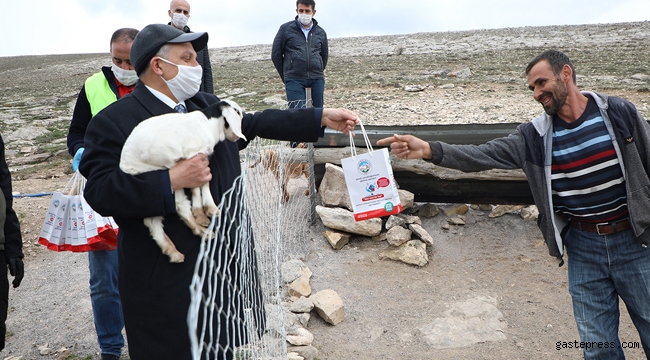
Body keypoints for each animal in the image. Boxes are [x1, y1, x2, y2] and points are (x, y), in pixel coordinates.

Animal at [119, 100, 246, 262]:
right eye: (238, 112)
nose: (236, 138)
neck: (207, 123)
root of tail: (125, 165)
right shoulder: (194, 156)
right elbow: (201, 184)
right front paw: (206, 211)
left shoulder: (200, 157)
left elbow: (202, 184)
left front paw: (205, 211)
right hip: (163, 176)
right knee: (178, 206)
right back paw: (200, 231)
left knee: (159, 218)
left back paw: (175, 251)